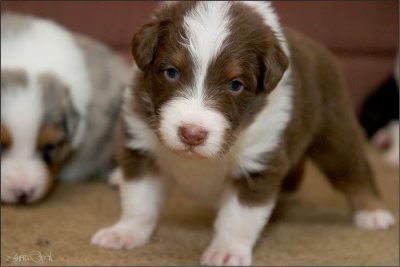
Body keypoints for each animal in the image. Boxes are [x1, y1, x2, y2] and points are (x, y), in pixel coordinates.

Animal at [92, 1, 396, 266]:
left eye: (235, 85)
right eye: (171, 72)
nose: (192, 134)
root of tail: (319, 48)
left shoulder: (258, 163)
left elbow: (238, 218)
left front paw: (226, 251)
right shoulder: (142, 147)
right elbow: (139, 201)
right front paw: (125, 232)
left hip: (334, 132)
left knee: (354, 170)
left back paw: (374, 212)